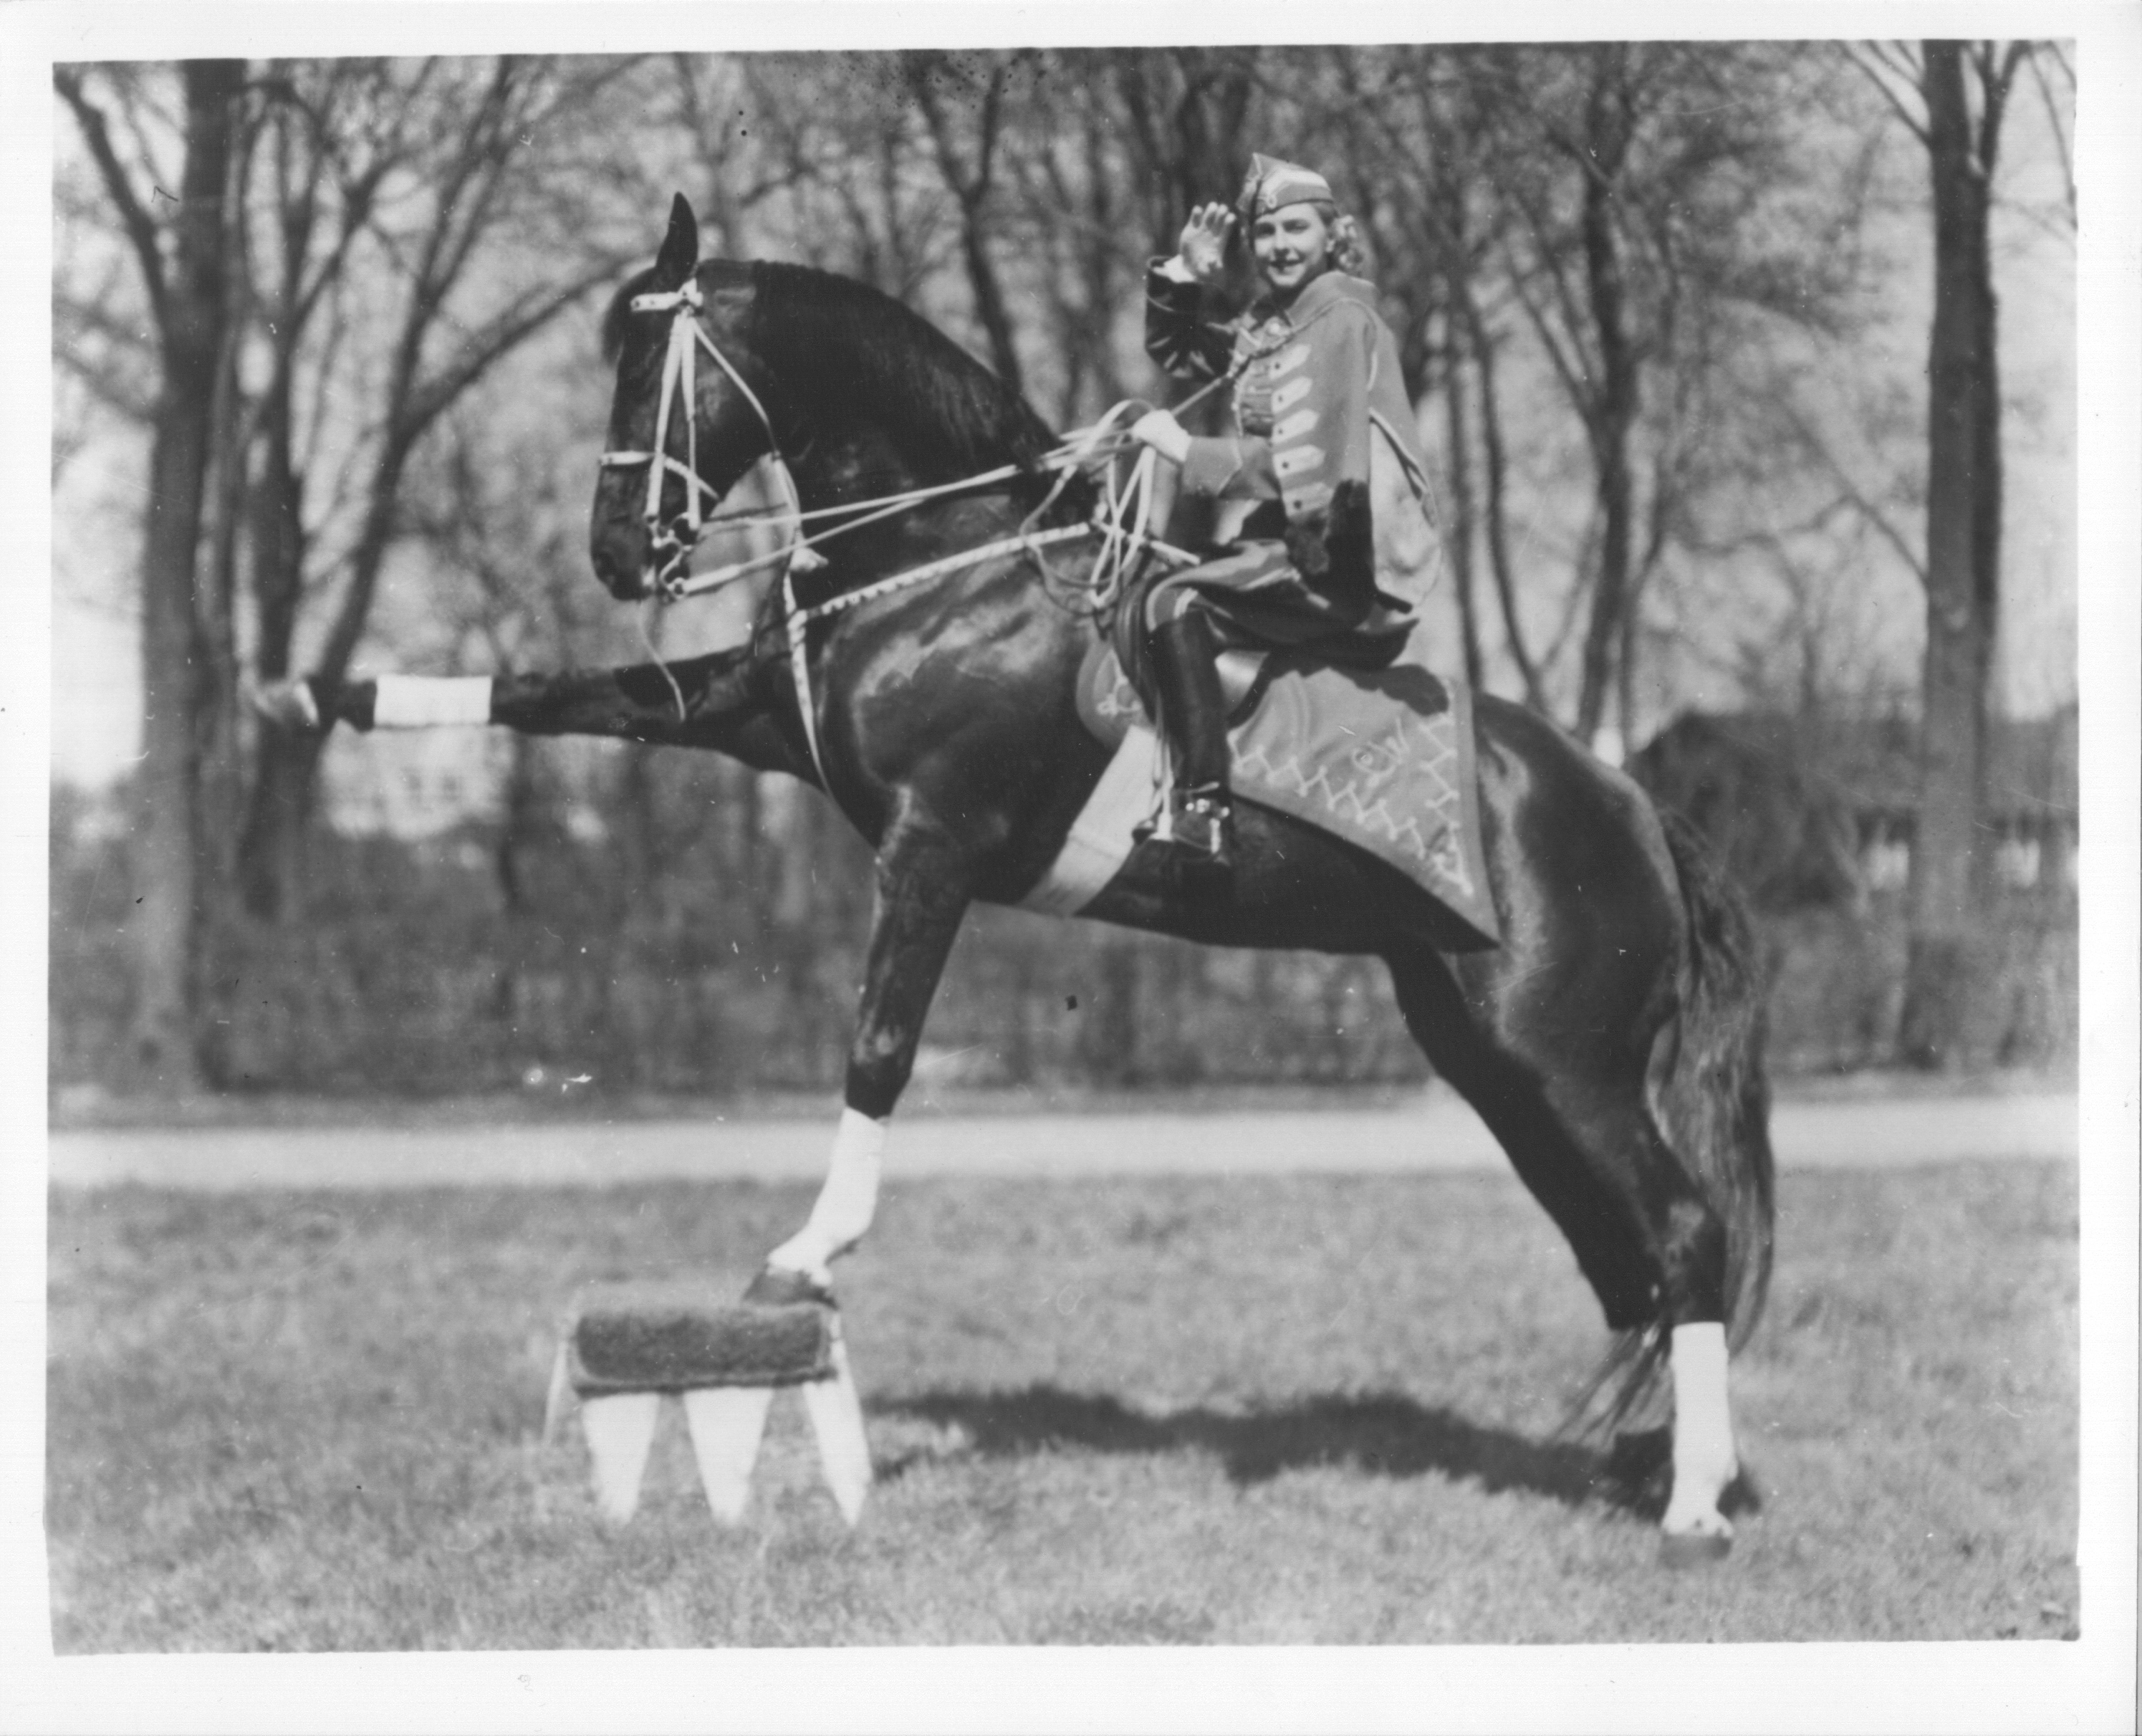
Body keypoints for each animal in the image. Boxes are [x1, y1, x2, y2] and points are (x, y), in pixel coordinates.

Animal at [276, 194, 1774, 1562]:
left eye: (661, 369)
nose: (613, 551)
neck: (945, 559)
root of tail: (1631, 801)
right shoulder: (753, 718)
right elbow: (558, 694)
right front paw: (318, 694)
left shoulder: (930, 845)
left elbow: (880, 1045)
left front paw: (811, 1252)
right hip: (1493, 1061)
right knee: (1629, 1264)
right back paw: (1649, 1463)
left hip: (1560, 1061)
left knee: (1683, 1237)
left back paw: (1693, 1498)